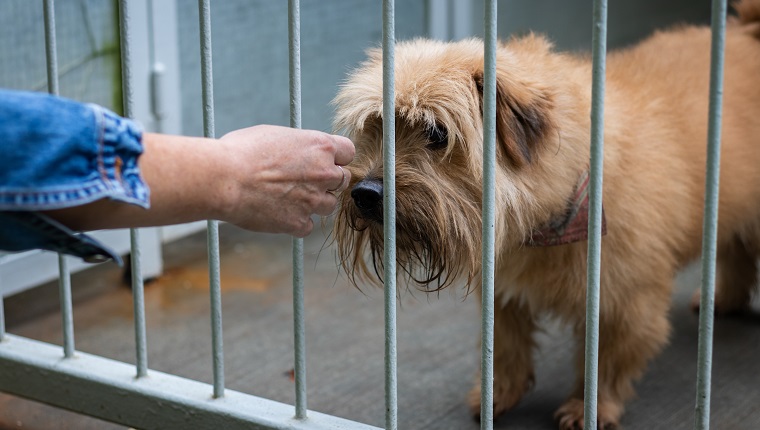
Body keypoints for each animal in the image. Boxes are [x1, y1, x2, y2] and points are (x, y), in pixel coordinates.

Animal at [332, 1, 760, 428]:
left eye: (437, 134)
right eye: (377, 125)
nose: (365, 194)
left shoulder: (623, 304)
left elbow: (606, 363)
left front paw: (591, 409)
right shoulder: (504, 294)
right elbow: (504, 349)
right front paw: (498, 395)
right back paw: (723, 298)